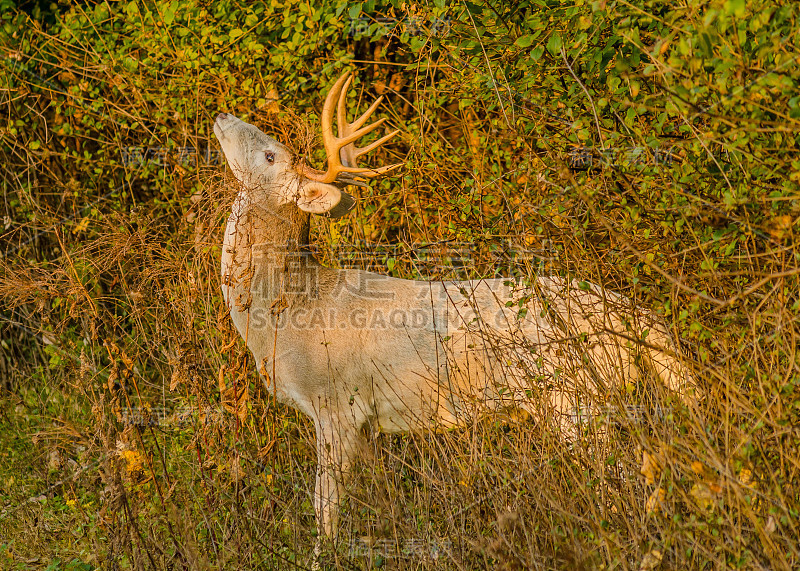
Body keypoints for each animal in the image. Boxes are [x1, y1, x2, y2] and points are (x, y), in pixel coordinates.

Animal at [212, 73, 692, 560]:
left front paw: (322, 558)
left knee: (621, 477)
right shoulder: (368, 426)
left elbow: (324, 506)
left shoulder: (337, 403)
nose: (223, 115)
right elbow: (380, 498)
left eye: (271, 156)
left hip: (574, 398)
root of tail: (635, 317)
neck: (289, 310)